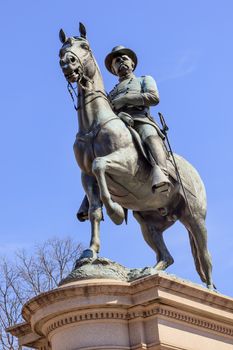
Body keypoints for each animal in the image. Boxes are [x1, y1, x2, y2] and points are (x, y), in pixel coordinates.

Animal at [58, 23, 215, 288]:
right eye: (62, 49)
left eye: (84, 46)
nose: (67, 62)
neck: (93, 126)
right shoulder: (86, 177)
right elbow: (94, 211)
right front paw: (90, 252)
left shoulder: (126, 164)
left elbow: (100, 164)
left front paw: (116, 211)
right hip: (149, 223)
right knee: (166, 256)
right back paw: (147, 272)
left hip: (195, 218)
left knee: (205, 257)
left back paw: (211, 290)